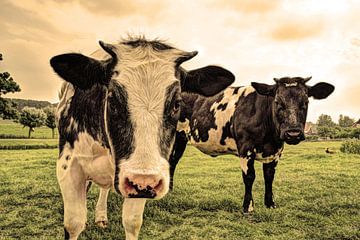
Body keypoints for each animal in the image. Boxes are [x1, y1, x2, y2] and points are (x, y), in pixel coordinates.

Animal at [50, 36, 236, 239]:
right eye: (112, 100)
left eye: (177, 104)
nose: (143, 180)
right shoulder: (68, 166)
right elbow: (74, 223)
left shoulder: (142, 186)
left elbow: (132, 222)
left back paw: (101, 216)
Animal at [169, 76, 334, 213]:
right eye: (277, 102)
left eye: (305, 102)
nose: (293, 133)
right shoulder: (245, 148)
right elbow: (249, 176)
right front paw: (248, 207)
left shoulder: (275, 152)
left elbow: (269, 176)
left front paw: (270, 204)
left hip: (181, 139)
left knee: (173, 161)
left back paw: (170, 190)